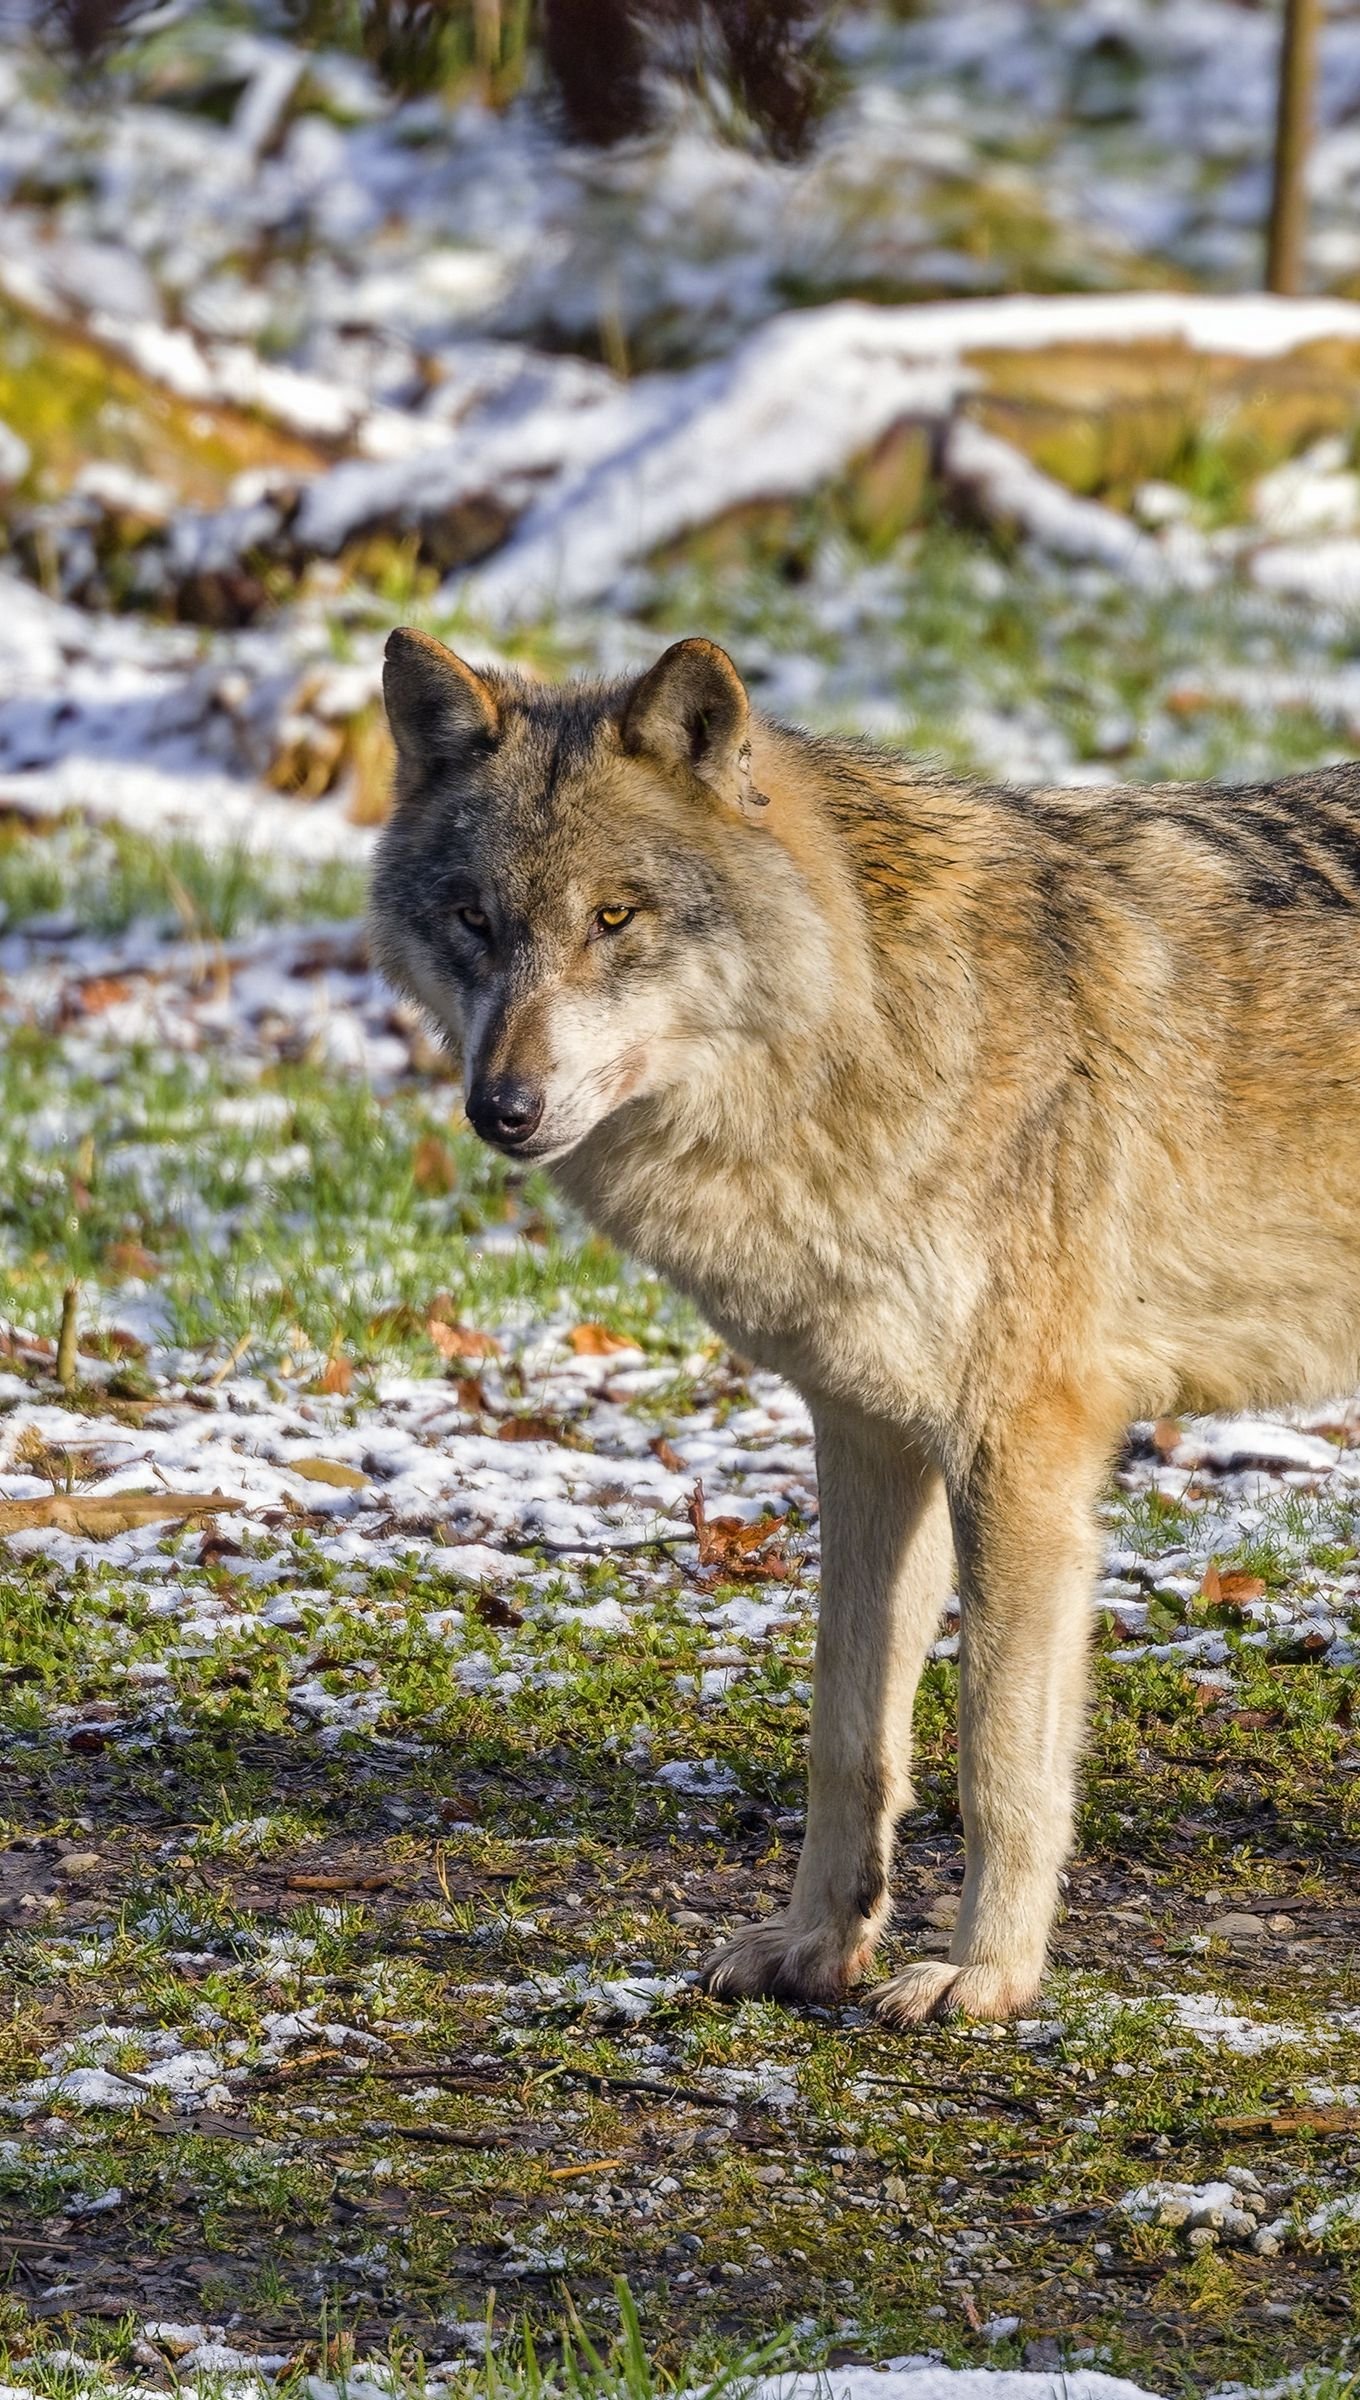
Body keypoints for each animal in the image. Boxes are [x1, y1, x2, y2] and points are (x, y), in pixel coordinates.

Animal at [366, 624, 1360, 2025]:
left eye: (615, 917)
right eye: (475, 920)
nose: (500, 1107)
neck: (866, 1024)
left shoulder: (1022, 1451)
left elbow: (996, 1753)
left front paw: (988, 1976)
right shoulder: (868, 1437)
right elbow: (848, 1736)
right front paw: (817, 1949)